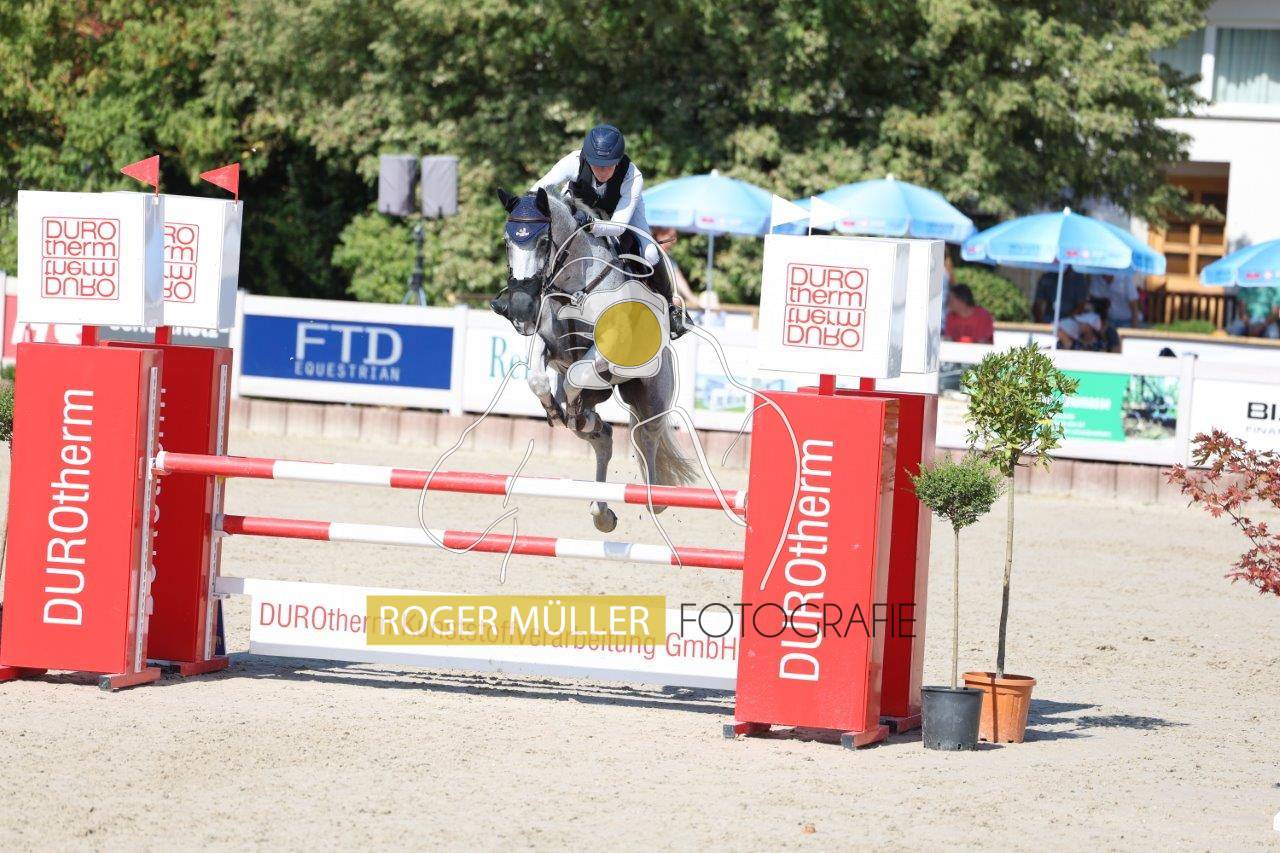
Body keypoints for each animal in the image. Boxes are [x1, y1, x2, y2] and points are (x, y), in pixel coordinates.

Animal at [493, 186, 695, 533]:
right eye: (508, 242)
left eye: (543, 242)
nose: (519, 309)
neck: (575, 288)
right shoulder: (549, 344)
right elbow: (538, 376)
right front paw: (556, 410)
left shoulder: (607, 354)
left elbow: (577, 375)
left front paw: (574, 410)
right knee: (604, 438)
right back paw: (602, 510)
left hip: (652, 395)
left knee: (647, 436)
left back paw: (656, 498)